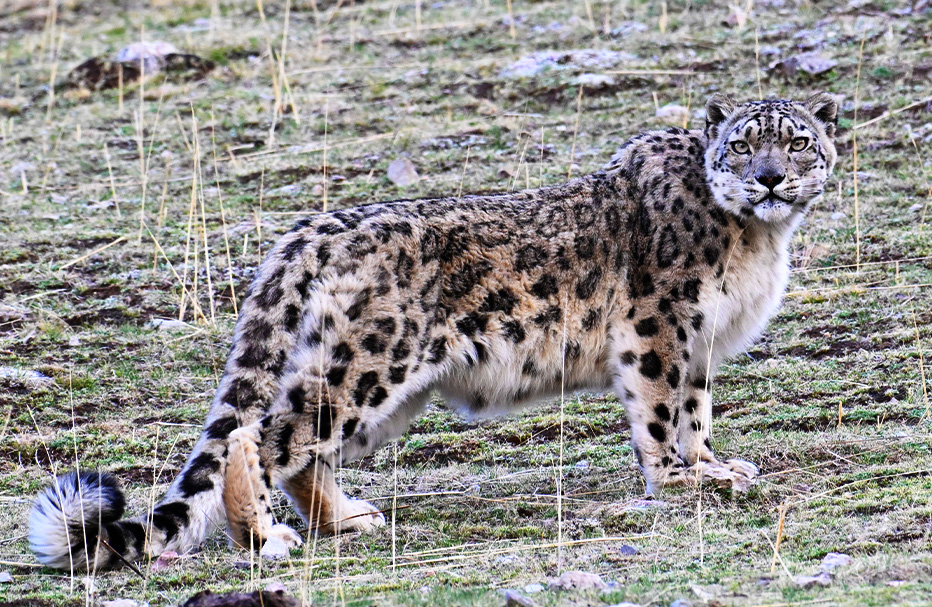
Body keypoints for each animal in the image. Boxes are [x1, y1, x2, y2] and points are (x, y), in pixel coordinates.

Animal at [29, 92, 838, 570]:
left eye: (797, 142)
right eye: (743, 144)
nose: (769, 177)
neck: (757, 239)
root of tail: (315, 226)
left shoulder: (700, 341)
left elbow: (696, 409)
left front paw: (712, 465)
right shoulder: (661, 326)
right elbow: (663, 408)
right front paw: (681, 479)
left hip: (379, 384)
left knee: (302, 447)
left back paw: (346, 518)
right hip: (371, 361)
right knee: (259, 433)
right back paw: (265, 537)